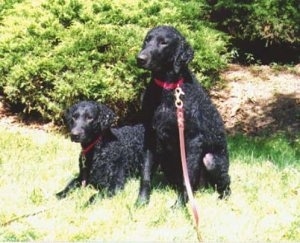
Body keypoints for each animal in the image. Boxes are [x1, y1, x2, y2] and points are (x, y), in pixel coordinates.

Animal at [137, 26, 232, 205]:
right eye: (147, 40)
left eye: (164, 42)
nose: (140, 58)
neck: (167, 89)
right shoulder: (150, 136)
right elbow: (145, 174)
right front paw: (141, 202)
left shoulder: (193, 140)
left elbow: (186, 180)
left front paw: (180, 205)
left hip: (211, 160)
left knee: (225, 184)